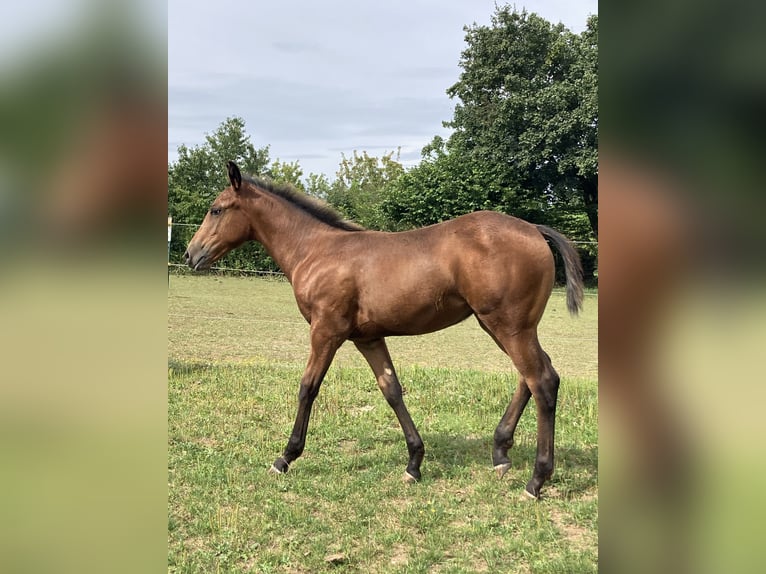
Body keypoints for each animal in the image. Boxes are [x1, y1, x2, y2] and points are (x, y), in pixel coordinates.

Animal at [184, 161, 584, 500]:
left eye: (216, 209)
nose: (191, 254)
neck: (315, 251)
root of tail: (534, 229)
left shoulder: (326, 331)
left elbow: (307, 388)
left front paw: (285, 457)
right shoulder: (368, 337)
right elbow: (392, 390)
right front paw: (414, 463)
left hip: (509, 325)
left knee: (542, 381)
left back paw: (536, 481)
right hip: (503, 326)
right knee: (534, 375)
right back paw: (500, 453)